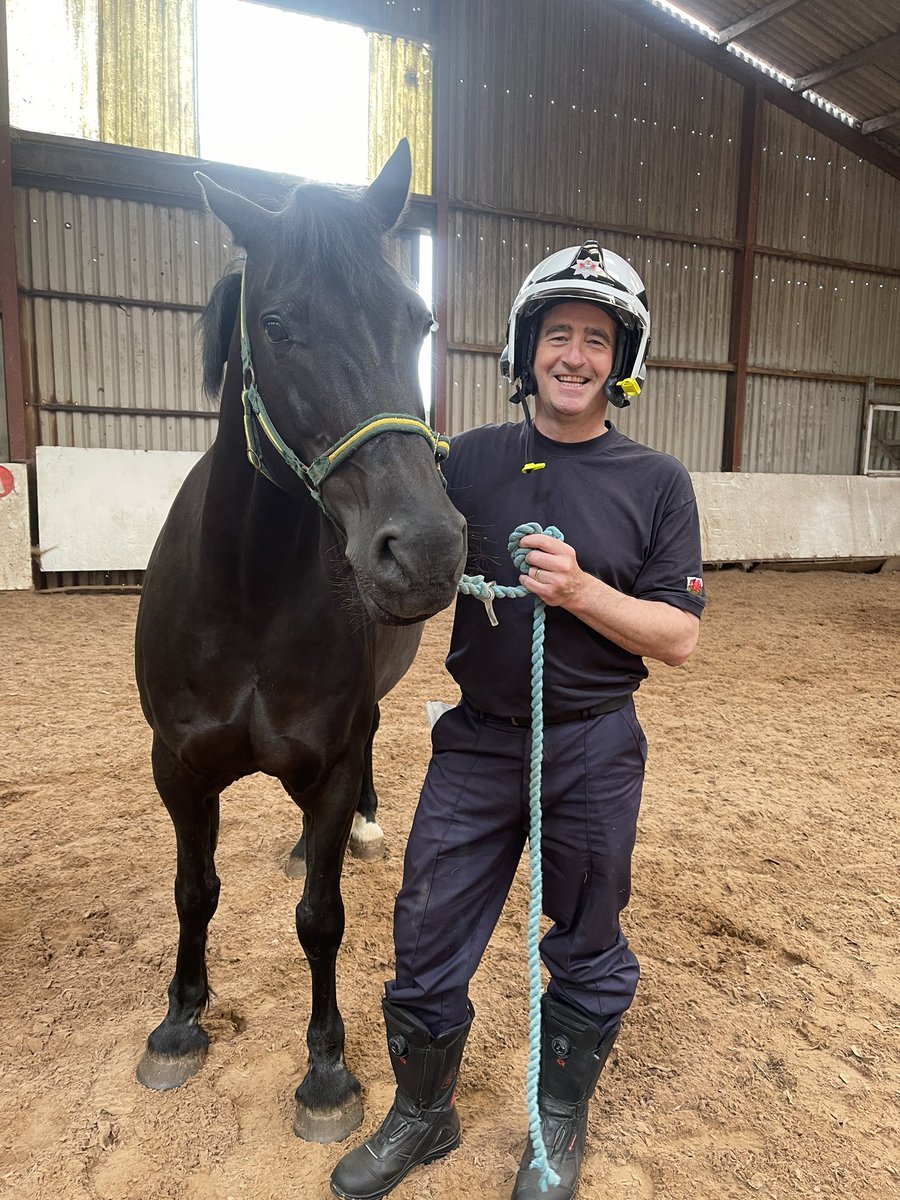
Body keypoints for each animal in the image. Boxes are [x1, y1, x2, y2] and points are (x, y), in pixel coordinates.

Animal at [139, 142, 472, 1142]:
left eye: (418, 318)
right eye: (279, 322)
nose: (427, 548)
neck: (245, 598)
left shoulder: (329, 761)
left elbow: (320, 918)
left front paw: (327, 1072)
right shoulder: (179, 769)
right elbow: (194, 890)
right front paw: (180, 1022)